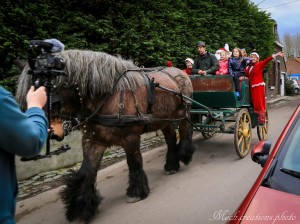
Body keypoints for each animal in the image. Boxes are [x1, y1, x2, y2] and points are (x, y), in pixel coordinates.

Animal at [15, 50, 195, 223]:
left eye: (51, 91)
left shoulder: (131, 138)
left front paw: (136, 192)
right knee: (170, 138)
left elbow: (134, 162)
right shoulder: (93, 141)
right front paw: (81, 206)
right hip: (164, 120)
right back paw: (171, 165)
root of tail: (179, 71)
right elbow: (87, 170)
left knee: (185, 130)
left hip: (182, 113)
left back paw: (185, 154)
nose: (51, 132)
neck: (109, 97)